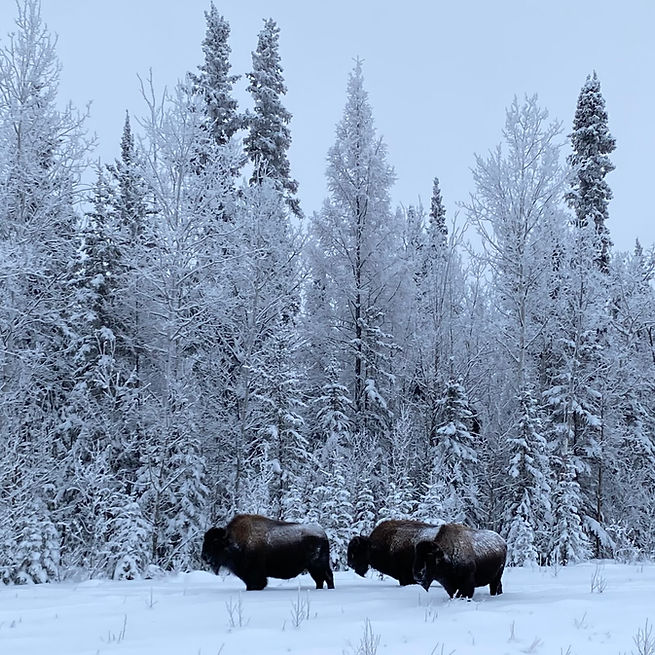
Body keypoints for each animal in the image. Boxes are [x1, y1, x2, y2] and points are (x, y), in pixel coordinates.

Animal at [201, 514, 335, 591]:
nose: (204, 556)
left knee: (325, 578)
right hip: (315, 568)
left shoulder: (254, 574)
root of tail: (323, 533)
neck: (233, 540)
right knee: (322, 579)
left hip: (317, 566)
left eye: (215, 542)